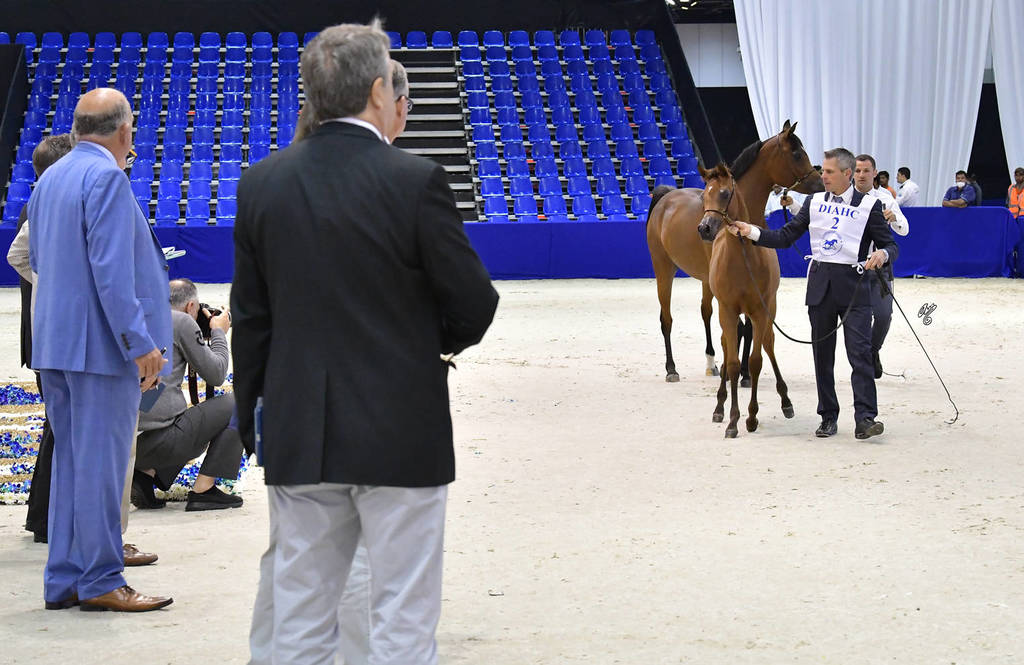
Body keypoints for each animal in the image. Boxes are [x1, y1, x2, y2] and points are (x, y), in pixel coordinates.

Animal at [645, 120, 823, 383]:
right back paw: (671, 369)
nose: (820, 183)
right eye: (797, 153)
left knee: (706, 312)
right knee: (665, 318)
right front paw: (733, 371)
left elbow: (747, 326)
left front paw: (745, 373)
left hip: (705, 279)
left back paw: (711, 362)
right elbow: (736, 326)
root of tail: (666, 196)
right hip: (663, 269)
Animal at [698, 163, 794, 438]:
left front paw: (751, 417)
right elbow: (731, 363)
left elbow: (755, 361)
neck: (742, 258)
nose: (704, 228)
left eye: (723, 193)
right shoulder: (728, 311)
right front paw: (732, 420)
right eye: (704, 195)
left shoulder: (760, 312)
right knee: (725, 345)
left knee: (769, 345)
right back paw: (719, 406)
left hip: (769, 310)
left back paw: (786, 401)